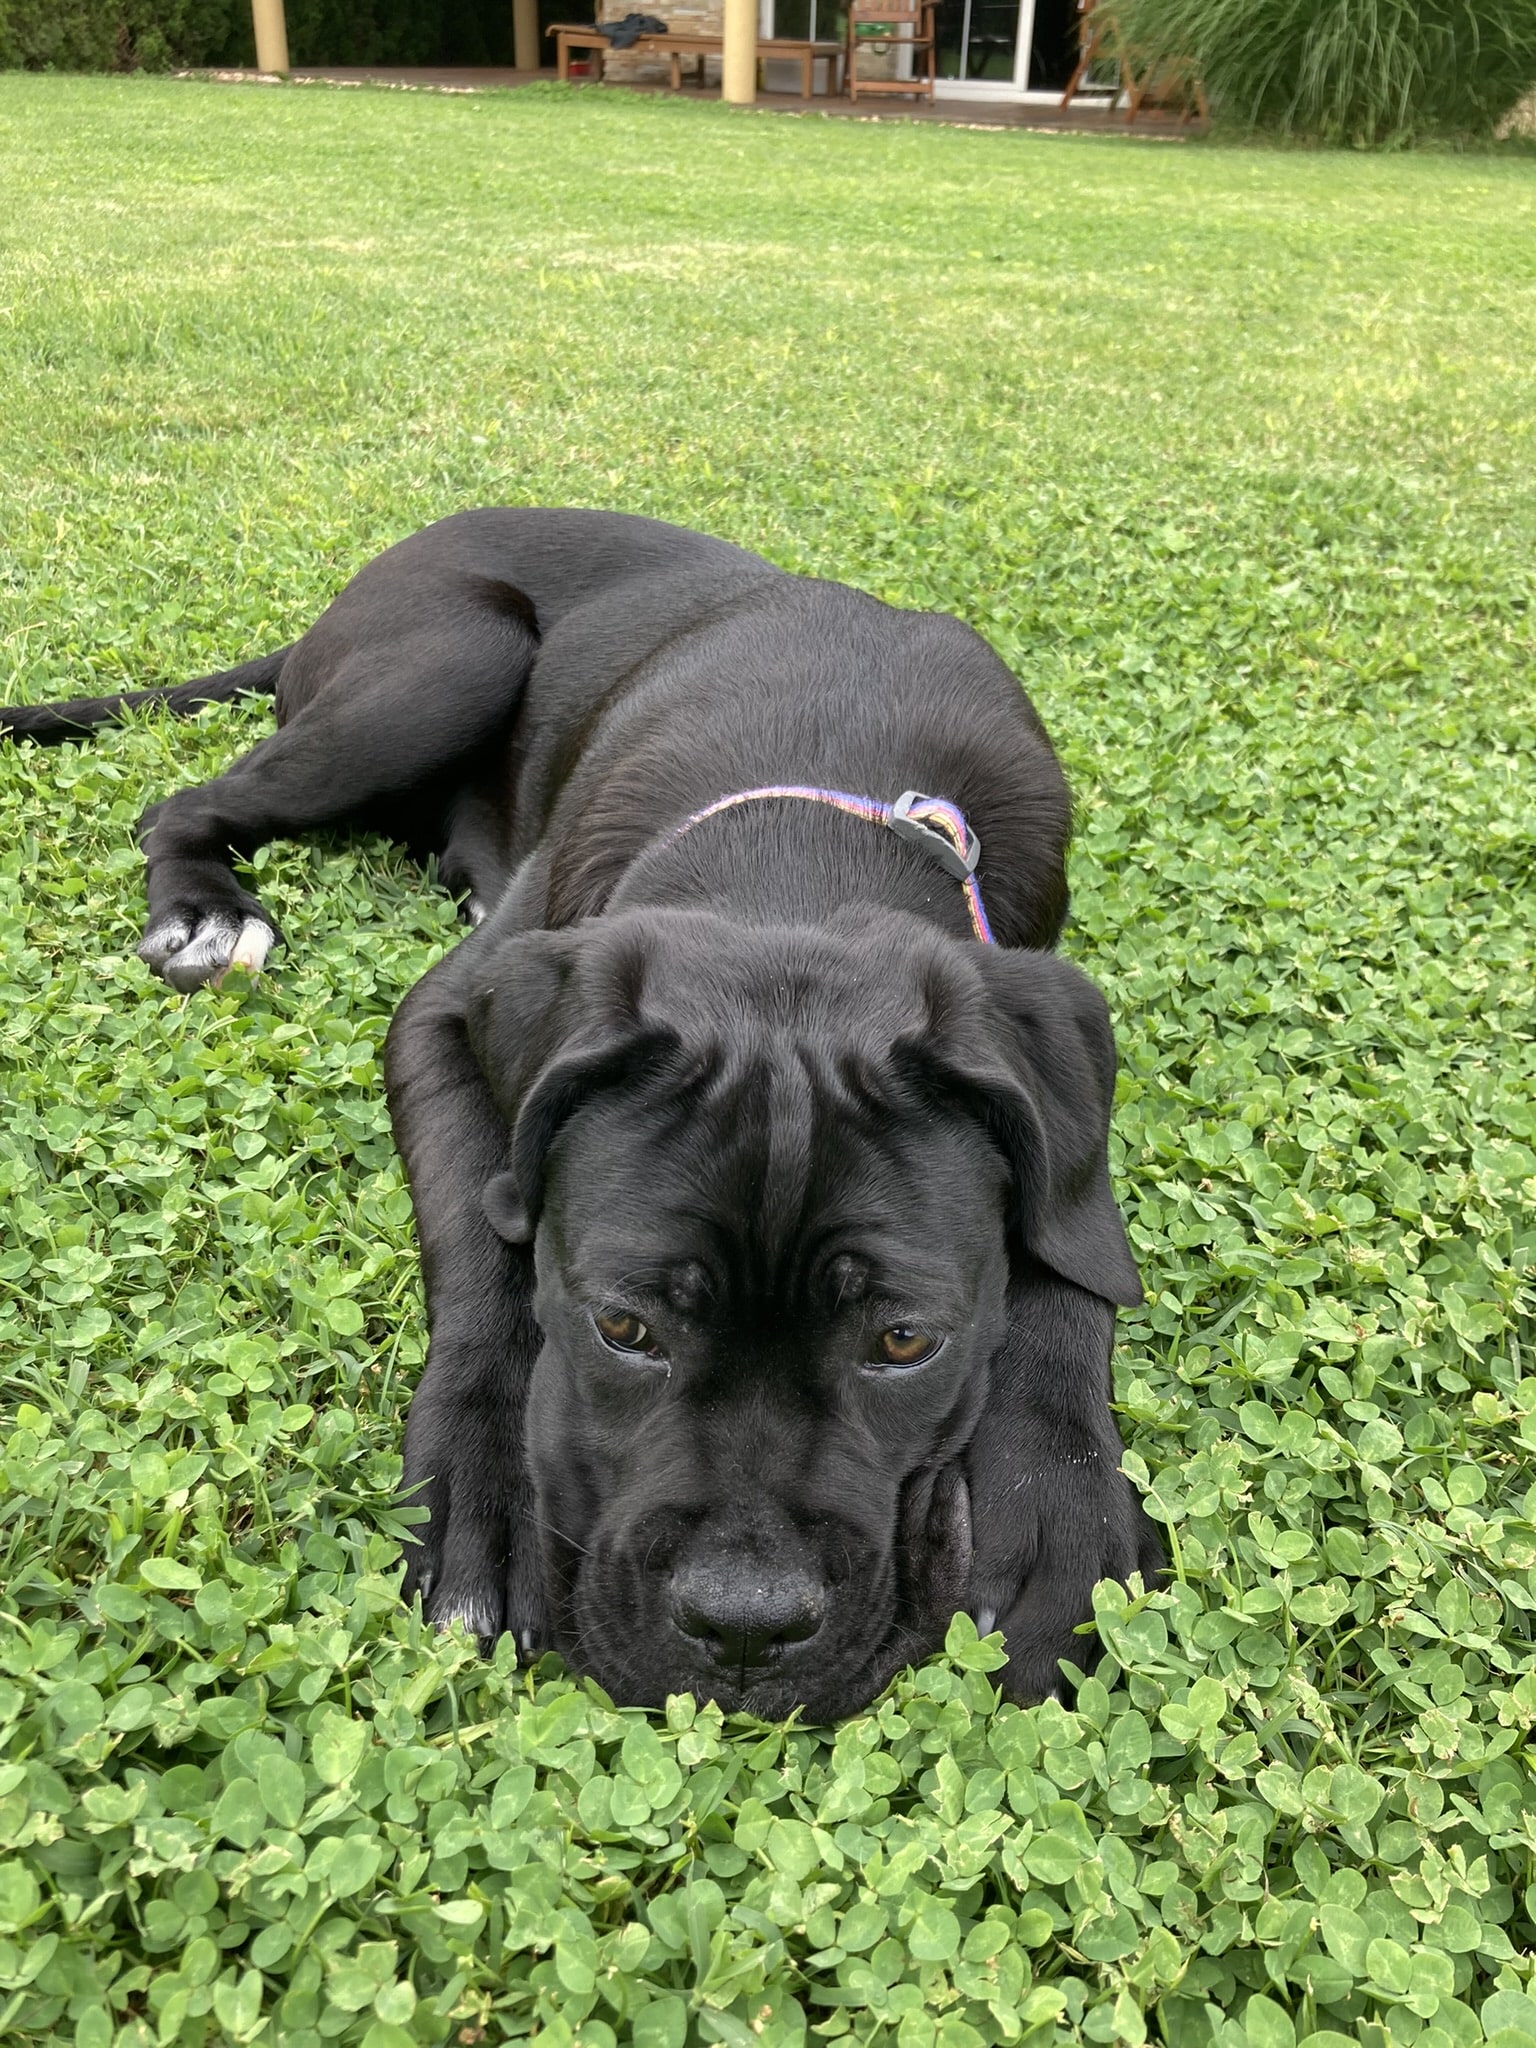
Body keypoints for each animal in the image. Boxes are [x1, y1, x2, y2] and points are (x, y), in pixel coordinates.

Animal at [0, 507, 1155, 1712]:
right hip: (451, 655)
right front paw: (491, 1483)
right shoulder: (447, 1017)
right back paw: (207, 911)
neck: (805, 833)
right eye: (623, 1328)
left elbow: (1072, 1255)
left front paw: (1057, 1502)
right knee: (181, 804)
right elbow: (488, 1249)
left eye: (904, 1340)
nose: (745, 1629)